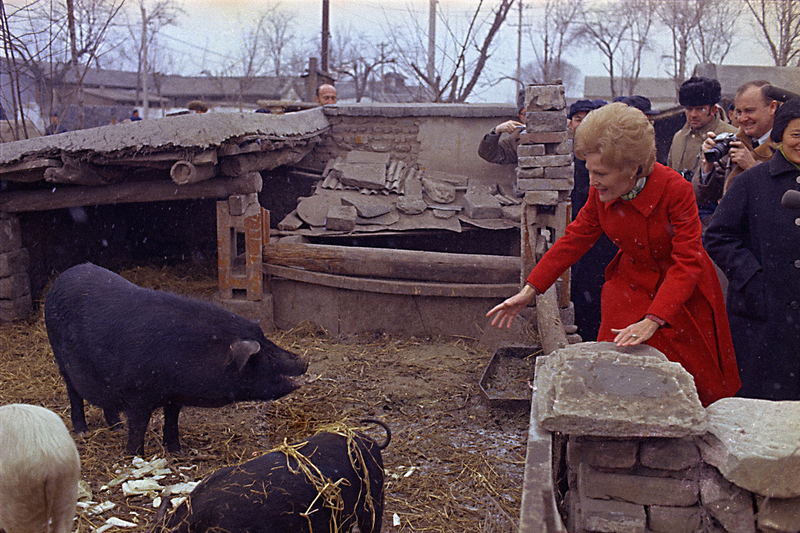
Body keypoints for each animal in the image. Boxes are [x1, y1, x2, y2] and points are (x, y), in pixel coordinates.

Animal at [43, 262, 308, 454]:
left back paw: (116, 428)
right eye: (266, 354)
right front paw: (135, 455)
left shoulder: (173, 396)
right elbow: (138, 425)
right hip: (61, 359)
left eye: (267, 340)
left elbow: (172, 421)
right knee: (74, 394)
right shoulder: (137, 394)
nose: (304, 361)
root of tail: (61, 279)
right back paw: (82, 431)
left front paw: (177, 452)